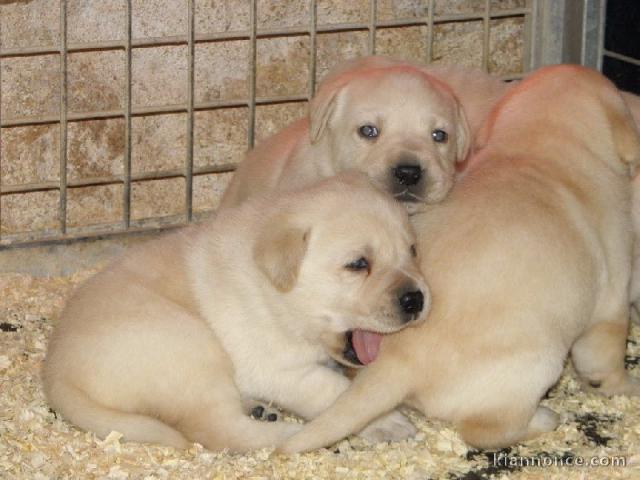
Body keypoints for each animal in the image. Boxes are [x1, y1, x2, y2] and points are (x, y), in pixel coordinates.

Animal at [42, 173, 428, 454]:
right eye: (358, 264)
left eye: (412, 250)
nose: (416, 299)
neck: (276, 296)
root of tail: (57, 375)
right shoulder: (276, 368)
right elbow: (334, 391)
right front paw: (388, 421)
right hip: (191, 346)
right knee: (218, 430)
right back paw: (288, 436)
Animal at [278, 64, 640, 454]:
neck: (540, 144)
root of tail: (398, 362)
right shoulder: (611, 297)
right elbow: (604, 356)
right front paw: (625, 387)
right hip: (539, 363)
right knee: (485, 429)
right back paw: (543, 419)